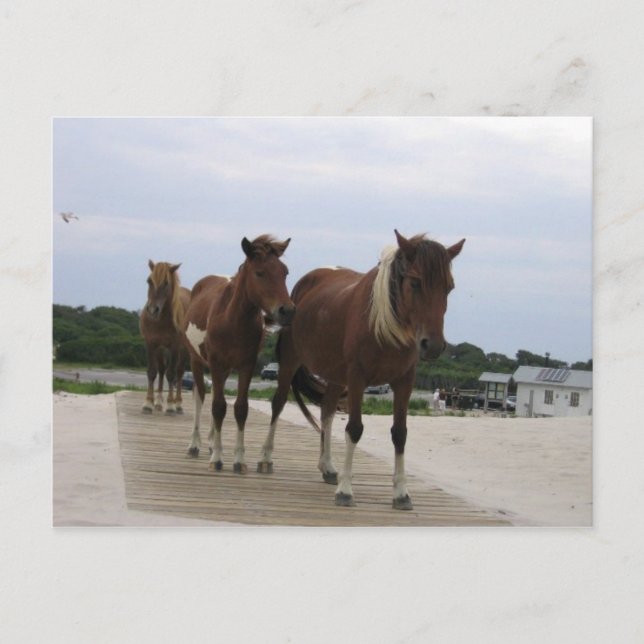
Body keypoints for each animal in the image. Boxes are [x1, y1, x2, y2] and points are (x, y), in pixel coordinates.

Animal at [140, 260, 191, 414]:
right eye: (149, 281)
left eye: (166, 283)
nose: (152, 310)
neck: (160, 320)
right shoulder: (151, 344)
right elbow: (152, 372)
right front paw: (148, 403)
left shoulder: (174, 346)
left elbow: (171, 374)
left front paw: (170, 405)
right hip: (161, 348)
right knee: (162, 370)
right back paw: (158, 402)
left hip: (184, 350)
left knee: (179, 372)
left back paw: (178, 403)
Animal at [183, 235, 295, 473]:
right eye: (260, 273)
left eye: (285, 272)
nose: (287, 310)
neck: (232, 320)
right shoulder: (215, 363)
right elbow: (218, 407)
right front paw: (217, 458)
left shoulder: (246, 366)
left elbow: (240, 408)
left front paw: (238, 459)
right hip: (197, 361)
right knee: (200, 397)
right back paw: (195, 444)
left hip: (224, 369)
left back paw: (210, 442)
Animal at [258, 230, 465, 510]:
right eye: (414, 282)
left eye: (449, 287)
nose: (432, 345)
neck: (384, 326)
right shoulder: (357, 379)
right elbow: (354, 429)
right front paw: (346, 490)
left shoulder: (404, 382)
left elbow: (400, 433)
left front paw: (401, 493)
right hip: (291, 361)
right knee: (278, 403)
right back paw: (266, 458)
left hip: (336, 375)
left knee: (327, 411)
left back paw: (328, 467)